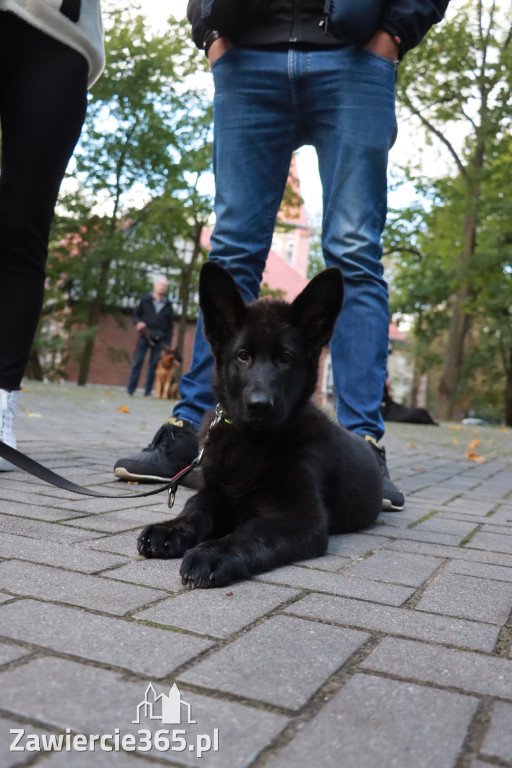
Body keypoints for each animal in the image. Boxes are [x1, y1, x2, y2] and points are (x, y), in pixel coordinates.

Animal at [138, 264, 382, 588]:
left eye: (286, 358)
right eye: (243, 355)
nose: (259, 405)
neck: (252, 440)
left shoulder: (304, 516)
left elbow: (254, 529)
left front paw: (214, 552)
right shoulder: (217, 490)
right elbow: (196, 506)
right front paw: (170, 528)